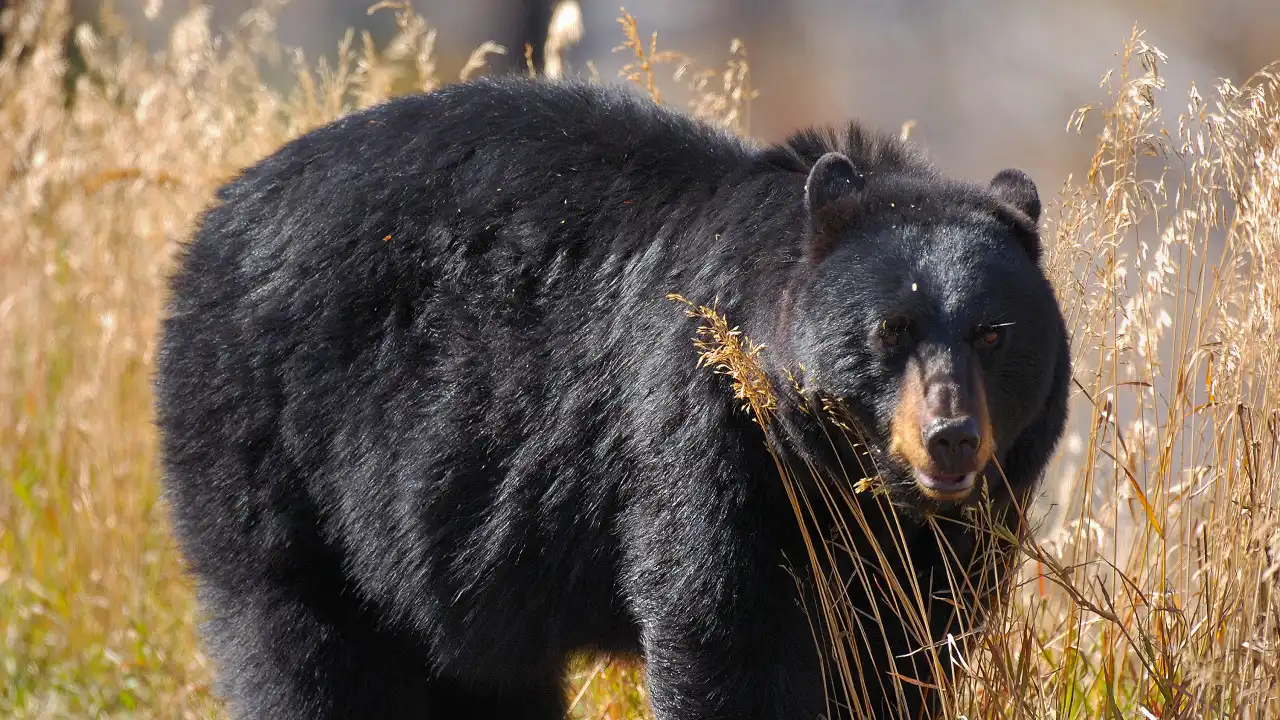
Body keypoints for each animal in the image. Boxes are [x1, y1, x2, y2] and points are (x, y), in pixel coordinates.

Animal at [152, 74, 1070, 717]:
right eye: (890, 331)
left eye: (994, 334)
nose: (951, 437)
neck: (846, 482)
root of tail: (210, 225)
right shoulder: (708, 433)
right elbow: (722, 633)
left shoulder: (949, 536)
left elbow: (909, 651)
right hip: (279, 461)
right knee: (305, 650)